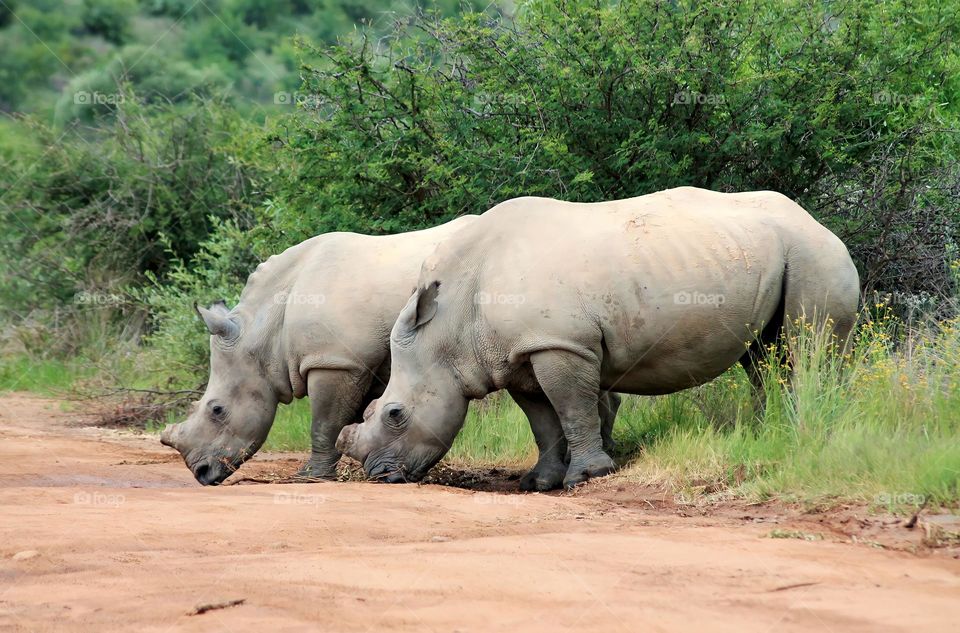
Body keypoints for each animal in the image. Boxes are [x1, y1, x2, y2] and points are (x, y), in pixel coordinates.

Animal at [159, 217, 480, 484]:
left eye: (217, 410)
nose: (201, 473)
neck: (264, 333)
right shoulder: (361, 363)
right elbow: (353, 418)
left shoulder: (335, 361)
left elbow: (326, 423)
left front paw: (311, 477)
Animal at [338, 186, 864, 488]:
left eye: (395, 414)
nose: (379, 475)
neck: (450, 330)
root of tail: (820, 222)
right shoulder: (518, 353)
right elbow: (542, 420)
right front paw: (538, 483)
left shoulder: (557, 342)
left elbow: (571, 408)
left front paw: (587, 477)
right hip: (769, 251)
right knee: (764, 357)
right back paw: (765, 432)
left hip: (814, 254)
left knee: (811, 346)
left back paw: (812, 430)